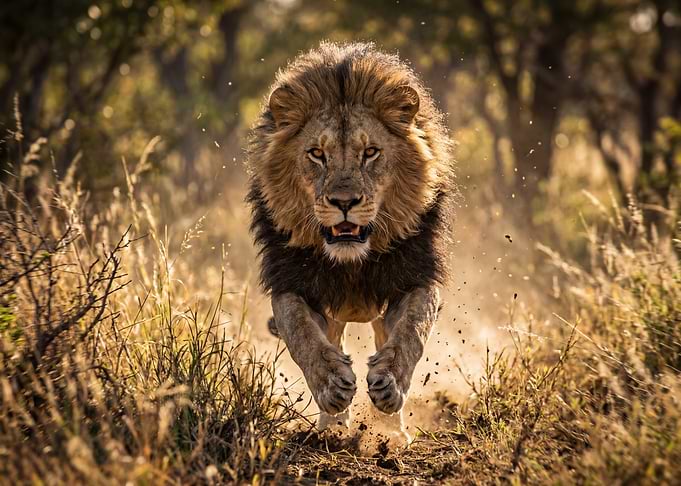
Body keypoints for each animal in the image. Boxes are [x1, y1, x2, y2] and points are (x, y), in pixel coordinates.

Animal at [246, 42, 454, 433]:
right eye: (317, 154)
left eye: (370, 152)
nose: (344, 203)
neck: (351, 261)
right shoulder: (291, 282)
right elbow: (301, 333)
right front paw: (332, 387)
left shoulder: (415, 277)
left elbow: (412, 331)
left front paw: (389, 385)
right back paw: (332, 427)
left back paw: (390, 430)